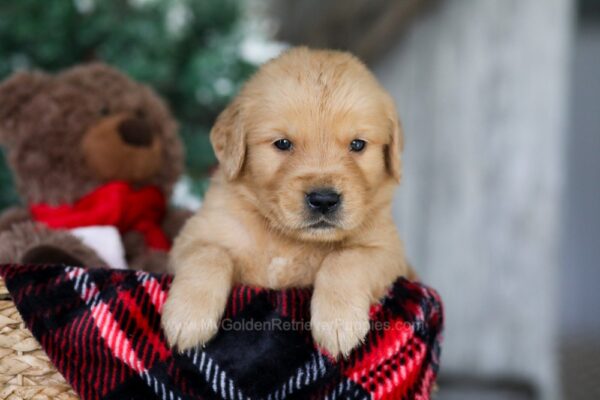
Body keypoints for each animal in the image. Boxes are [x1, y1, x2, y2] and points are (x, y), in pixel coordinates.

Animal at [162, 47, 414, 360]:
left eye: (358, 145)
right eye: (282, 143)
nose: (324, 200)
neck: (287, 240)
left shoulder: (390, 252)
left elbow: (346, 257)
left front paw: (338, 322)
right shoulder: (192, 236)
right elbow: (208, 253)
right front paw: (187, 316)